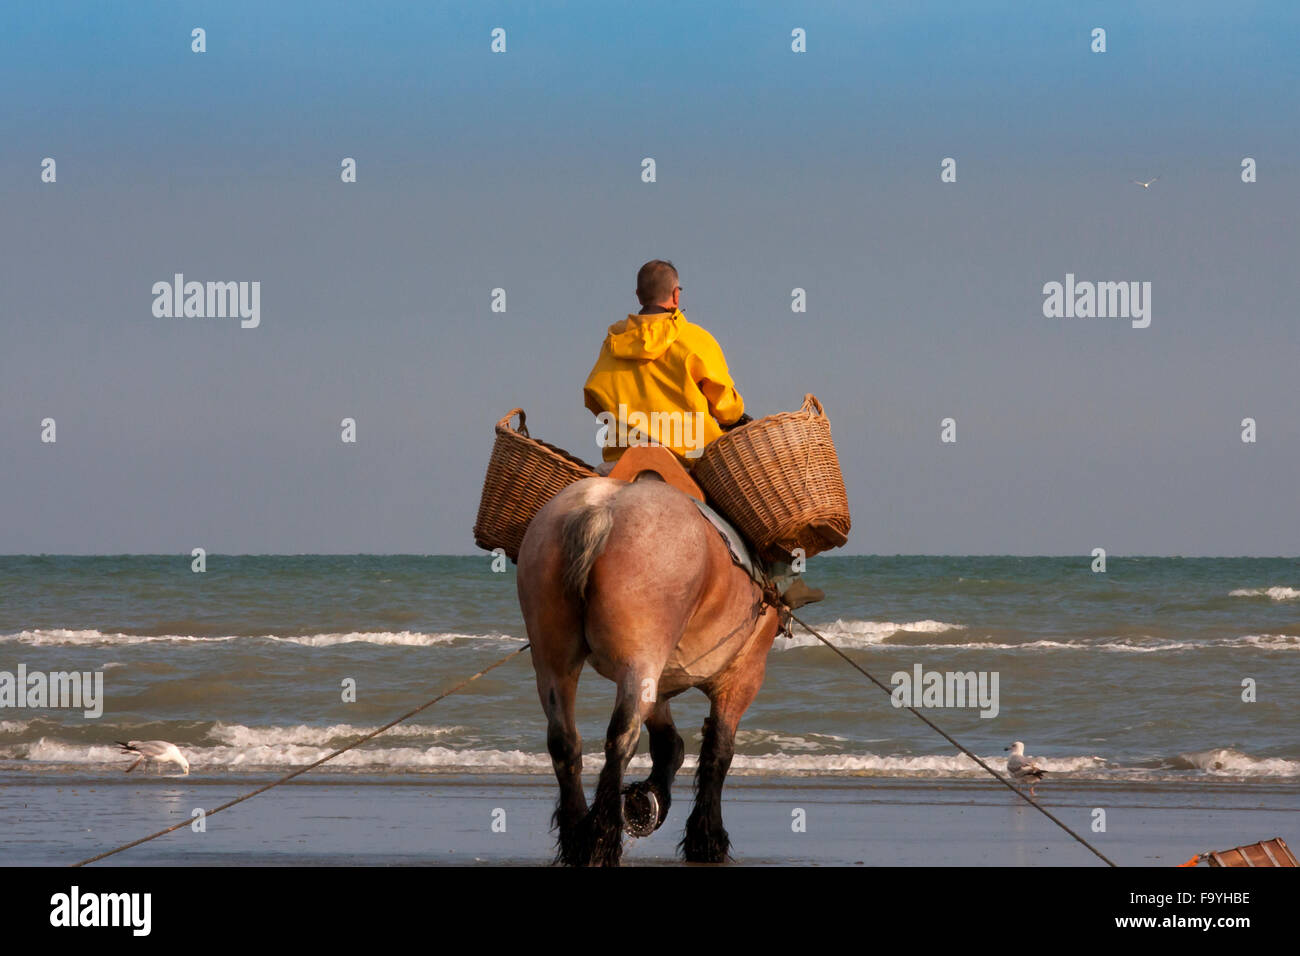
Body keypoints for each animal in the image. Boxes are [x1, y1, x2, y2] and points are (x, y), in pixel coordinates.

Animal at [516, 474, 783, 866]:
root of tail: (601, 506)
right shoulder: (743, 675)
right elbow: (718, 751)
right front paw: (707, 838)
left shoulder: (661, 680)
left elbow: (669, 743)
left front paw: (649, 800)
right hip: (640, 661)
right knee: (621, 738)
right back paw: (602, 841)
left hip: (554, 661)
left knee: (564, 741)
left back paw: (579, 837)